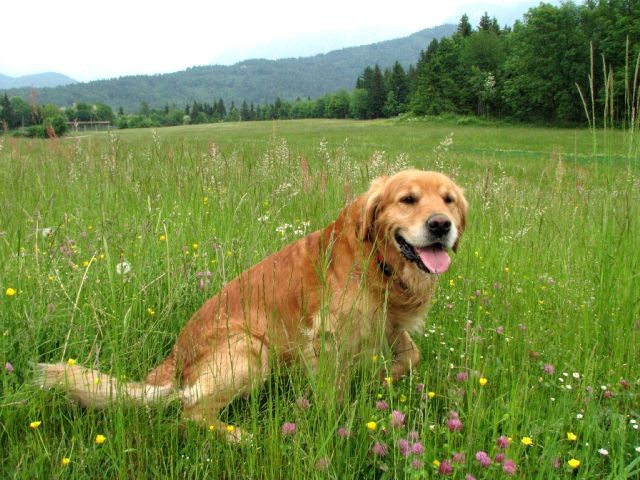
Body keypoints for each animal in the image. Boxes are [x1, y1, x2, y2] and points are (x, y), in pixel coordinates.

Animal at [36, 169, 464, 442]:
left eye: (449, 200)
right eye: (407, 199)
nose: (441, 225)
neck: (377, 259)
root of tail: (172, 361)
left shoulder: (388, 324)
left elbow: (411, 356)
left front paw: (379, 379)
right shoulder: (326, 339)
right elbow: (335, 397)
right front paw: (340, 425)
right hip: (250, 349)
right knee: (190, 413)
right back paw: (243, 437)